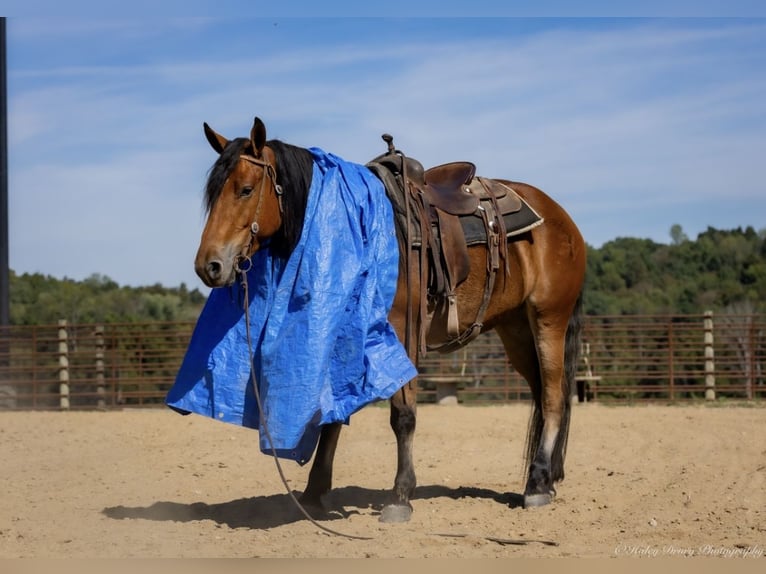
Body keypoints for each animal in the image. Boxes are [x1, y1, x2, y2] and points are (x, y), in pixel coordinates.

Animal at [193, 117, 586, 523]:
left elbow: (403, 415)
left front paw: (400, 495)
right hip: (516, 329)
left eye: (245, 189)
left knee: (554, 397)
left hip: (548, 319)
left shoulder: (401, 332)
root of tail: (561, 218)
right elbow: (332, 417)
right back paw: (545, 479)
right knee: (541, 393)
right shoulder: (344, 335)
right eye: (213, 194)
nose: (209, 265)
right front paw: (315, 492)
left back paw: (536, 486)